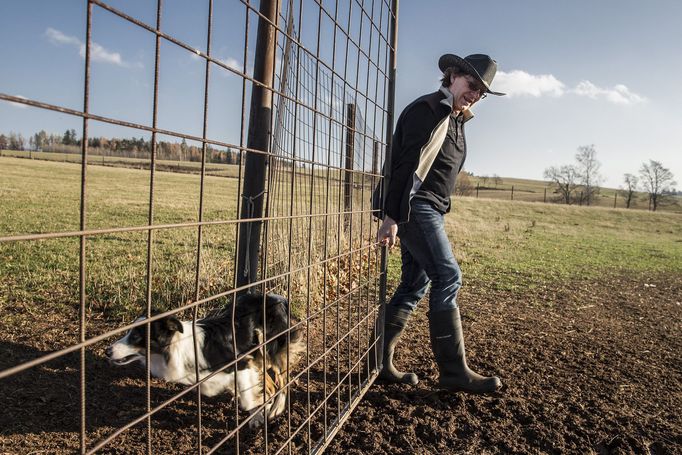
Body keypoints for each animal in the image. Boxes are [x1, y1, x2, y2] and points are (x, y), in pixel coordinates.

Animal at [105, 294, 302, 430]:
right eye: (127, 332)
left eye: (136, 337)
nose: (107, 351)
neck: (177, 345)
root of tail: (278, 298)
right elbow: (252, 392)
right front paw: (259, 412)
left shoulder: (241, 365)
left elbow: (247, 400)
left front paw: (259, 415)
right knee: (272, 385)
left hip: (270, 350)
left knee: (283, 381)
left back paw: (277, 409)